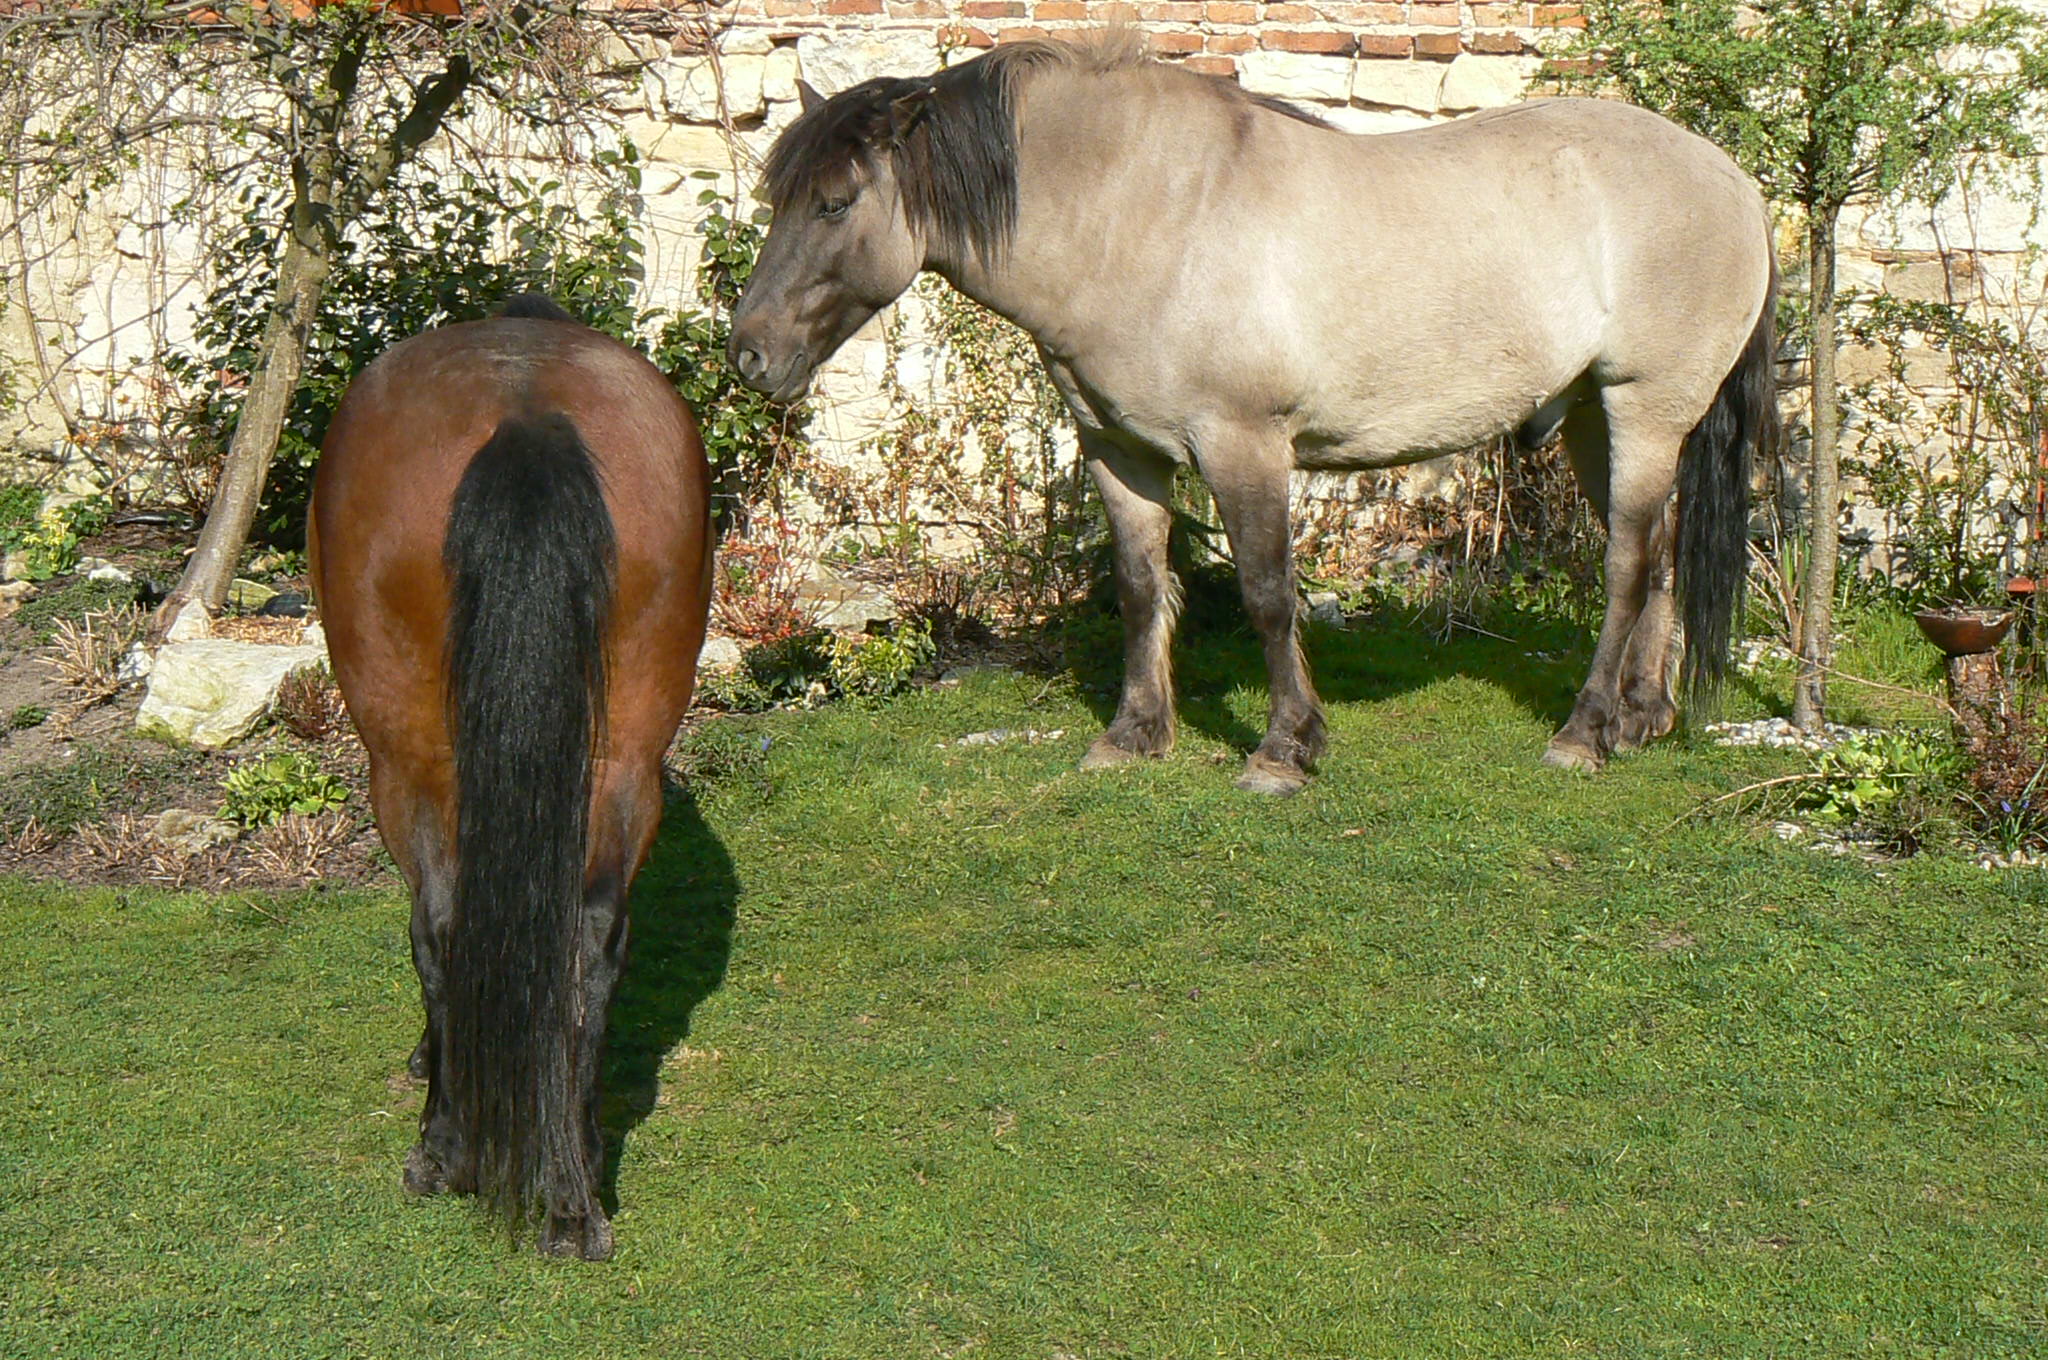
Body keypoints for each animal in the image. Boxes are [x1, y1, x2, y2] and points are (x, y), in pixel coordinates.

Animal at [307, 292, 712, 1261]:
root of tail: (526, 415)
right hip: (624, 757)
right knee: (590, 938)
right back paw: (573, 1191)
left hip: (405, 759)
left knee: (442, 924)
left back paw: (446, 1150)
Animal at [733, 34, 1777, 798]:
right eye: (779, 197)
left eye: (835, 203)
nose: (748, 354)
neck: (1144, 217)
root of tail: (1733, 179)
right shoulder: (1119, 451)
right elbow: (1142, 587)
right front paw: (1134, 734)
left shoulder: (1244, 446)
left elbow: (1269, 594)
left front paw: (1285, 748)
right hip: (1601, 417)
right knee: (1658, 553)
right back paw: (1642, 718)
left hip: (1644, 408)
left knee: (1627, 564)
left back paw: (1584, 731)